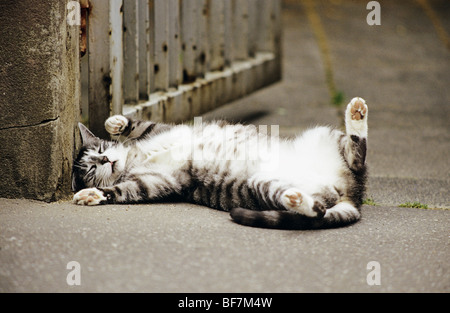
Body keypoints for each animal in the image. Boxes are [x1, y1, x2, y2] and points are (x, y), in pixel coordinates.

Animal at [73, 96, 370, 228]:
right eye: (90, 168)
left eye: (101, 148)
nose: (105, 159)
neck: (135, 160)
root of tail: (353, 197)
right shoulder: (152, 182)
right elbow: (121, 191)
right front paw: (92, 194)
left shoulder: (163, 130)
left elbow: (140, 125)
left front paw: (115, 122)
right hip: (262, 184)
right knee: (317, 209)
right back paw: (296, 199)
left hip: (322, 135)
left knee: (357, 155)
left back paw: (356, 116)